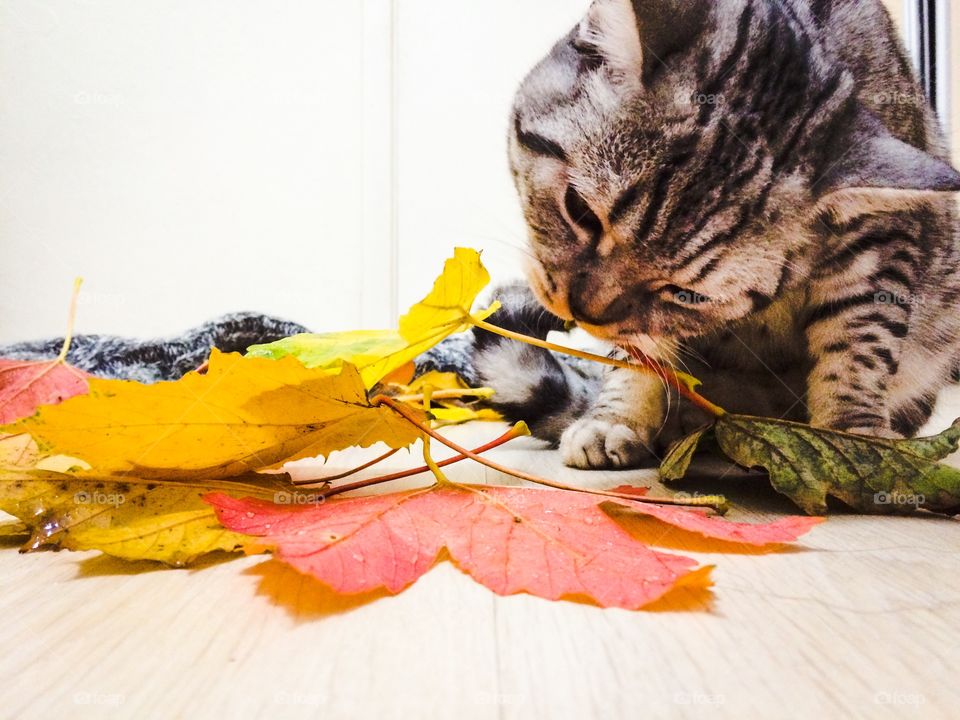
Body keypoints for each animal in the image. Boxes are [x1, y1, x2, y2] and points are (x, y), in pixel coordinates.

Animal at [472, 0, 960, 470]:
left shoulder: (883, 242)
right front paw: (617, 418)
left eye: (687, 293)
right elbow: (637, 355)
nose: (581, 312)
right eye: (581, 211)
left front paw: (854, 440)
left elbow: (858, 347)